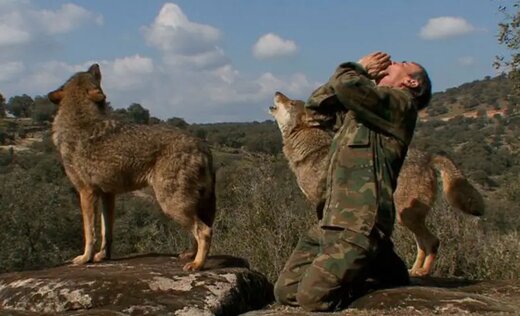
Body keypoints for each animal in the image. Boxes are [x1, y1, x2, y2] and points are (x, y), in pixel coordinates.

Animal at [48, 65, 215, 272]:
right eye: (86, 72)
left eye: (92, 73)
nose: (95, 64)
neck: (78, 121)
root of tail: (202, 145)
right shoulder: (107, 195)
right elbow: (106, 232)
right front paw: (102, 256)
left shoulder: (86, 193)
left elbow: (89, 233)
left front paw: (85, 258)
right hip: (188, 205)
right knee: (199, 231)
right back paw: (190, 256)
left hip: (172, 205)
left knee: (205, 231)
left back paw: (197, 264)